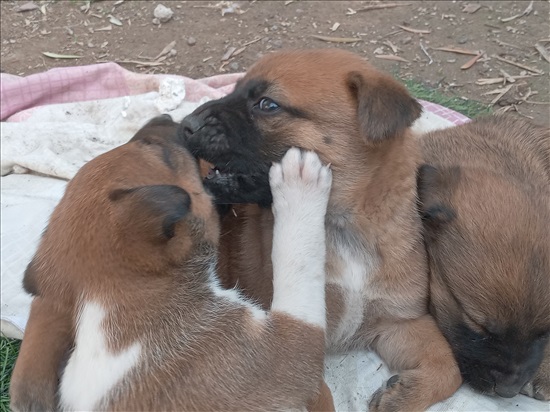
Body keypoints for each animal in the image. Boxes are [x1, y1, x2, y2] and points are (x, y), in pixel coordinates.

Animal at [179, 49, 464, 412]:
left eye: (267, 104)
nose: (185, 125)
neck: (343, 228)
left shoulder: (401, 321)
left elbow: (449, 368)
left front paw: (402, 396)